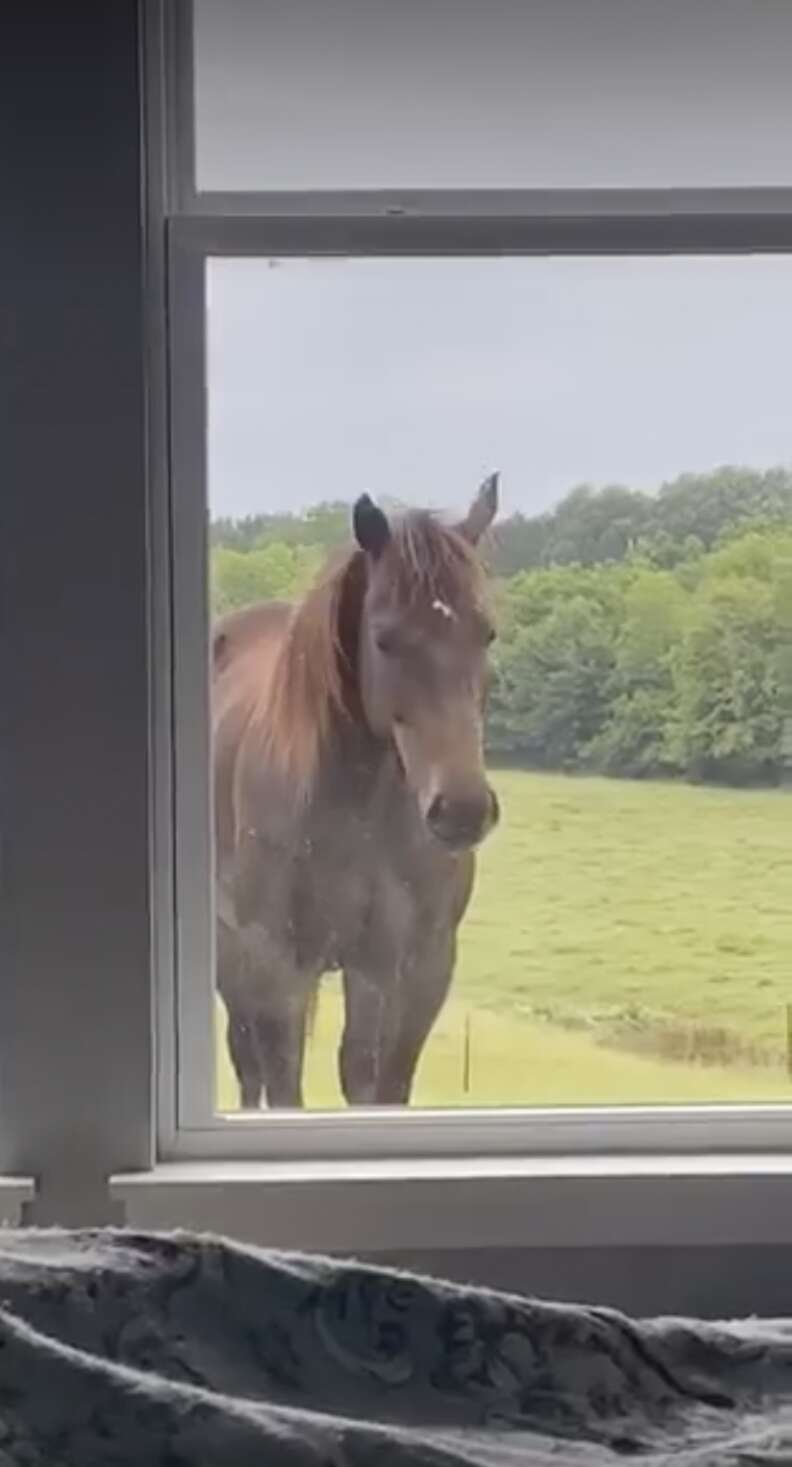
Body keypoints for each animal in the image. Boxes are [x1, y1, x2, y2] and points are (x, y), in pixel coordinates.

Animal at [212, 475, 500, 1109]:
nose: (462, 809)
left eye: (487, 632)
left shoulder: (409, 966)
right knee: (246, 1060)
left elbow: (374, 1078)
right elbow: (283, 1080)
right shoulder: (277, 960)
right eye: (384, 639)